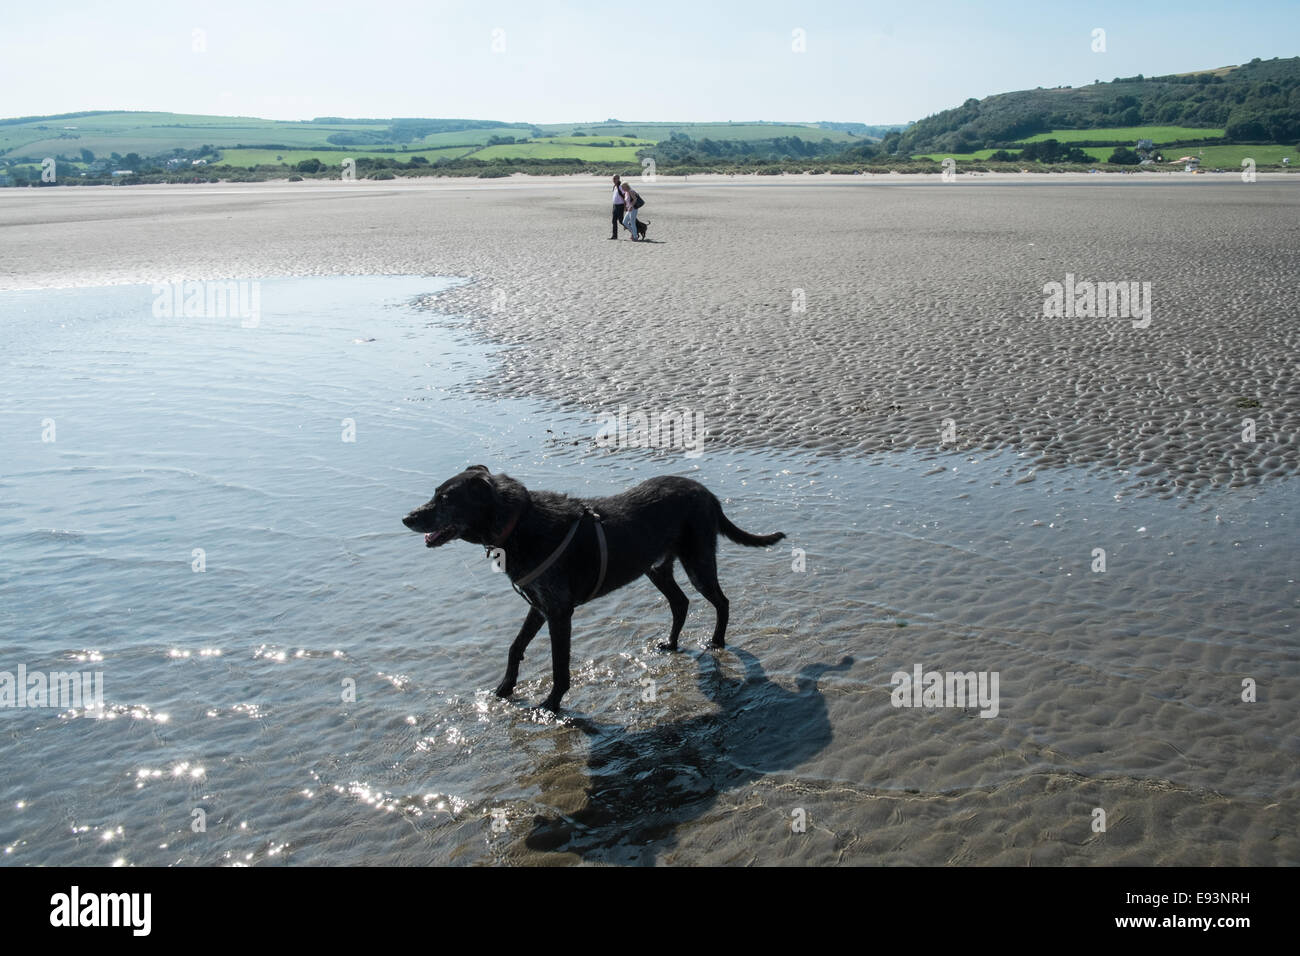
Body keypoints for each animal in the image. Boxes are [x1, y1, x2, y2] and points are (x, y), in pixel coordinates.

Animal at [400, 468, 780, 707]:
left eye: (446, 498)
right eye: (435, 494)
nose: (406, 518)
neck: (518, 524)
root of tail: (708, 494)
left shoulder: (559, 612)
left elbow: (559, 666)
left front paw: (551, 705)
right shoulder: (539, 605)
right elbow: (515, 646)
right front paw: (505, 688)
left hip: (697, 561)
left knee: (722, 601)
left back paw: (717, 641)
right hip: (656, 567)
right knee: (680, 602)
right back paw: (671, 643)